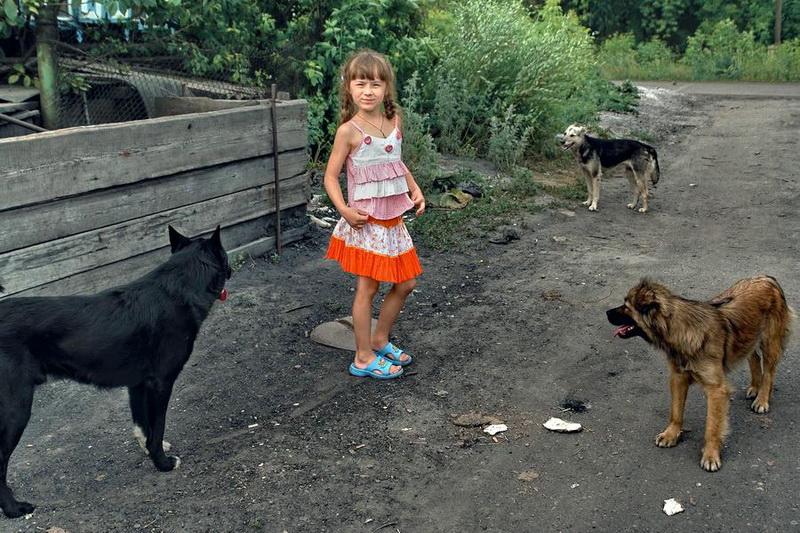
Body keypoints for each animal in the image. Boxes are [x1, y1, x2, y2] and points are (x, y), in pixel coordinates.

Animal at [0, 224, 231, 516]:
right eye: (225, 255)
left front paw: (149, 451)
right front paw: (163, 463)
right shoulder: (161, 383)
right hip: (15, 409)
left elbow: (143, 425)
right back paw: (13, 508)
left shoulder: (138, 385)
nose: (231, 269)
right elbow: (158, 426)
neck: (178, 289)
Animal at [608, 276, 792, 472]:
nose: (606, 313)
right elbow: (676, 411)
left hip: (770, 341)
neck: (679, 329)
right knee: (754, 358)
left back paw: (762, 399)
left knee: (769, 372)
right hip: (749, 335)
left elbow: (712, 426)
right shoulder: (678, 377)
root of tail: (767, 278)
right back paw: (754, 387)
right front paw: (671, 434)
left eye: (626, 306)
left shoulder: (716, 390)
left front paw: (710, 455)